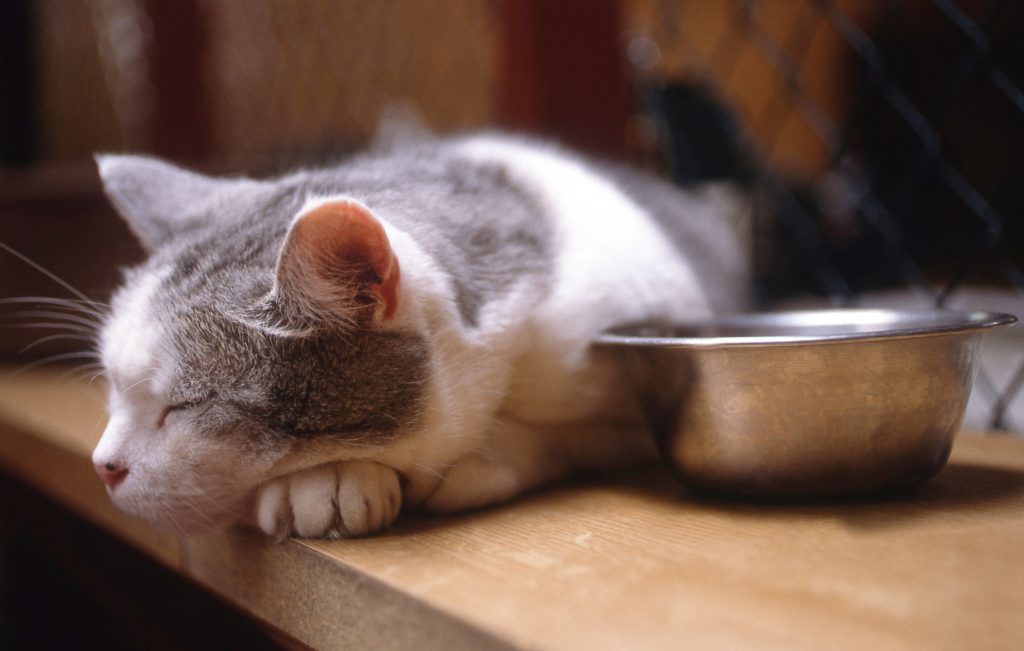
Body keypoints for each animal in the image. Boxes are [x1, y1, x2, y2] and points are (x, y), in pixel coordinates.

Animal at [92, 132, 749, 540]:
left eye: (186, 407)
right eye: (114, 389)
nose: (102, 466)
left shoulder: (620, 392)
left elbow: (548, 436)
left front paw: (461, 461)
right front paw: (327, 480)